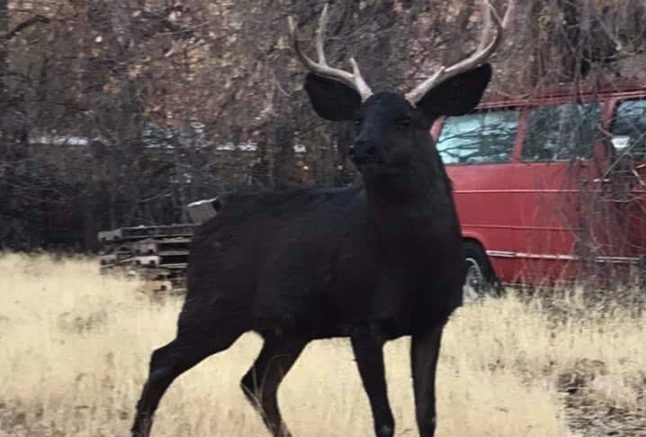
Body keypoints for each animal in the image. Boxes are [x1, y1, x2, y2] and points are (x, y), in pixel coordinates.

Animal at [131, 1, 510, 436]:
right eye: (358, 118)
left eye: (405, 120)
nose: (361, 147)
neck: (414, 259)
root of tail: (208, 219)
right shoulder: (362, 320)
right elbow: (385, 420)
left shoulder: (434, 320)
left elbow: (426, 415)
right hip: (213, 305)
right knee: (162, 360)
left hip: (289, 328)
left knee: (255, 382)